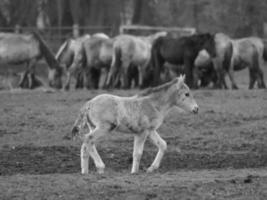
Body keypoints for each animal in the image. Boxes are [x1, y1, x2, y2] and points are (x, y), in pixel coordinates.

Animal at [65, 76, 199, 174]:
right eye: (187, 94)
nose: (196, 109)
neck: (153, 104)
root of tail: (89, 103)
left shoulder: (150, 130)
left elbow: (163, 144)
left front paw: (151, 168)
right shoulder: (142, 132)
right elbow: (137, 153)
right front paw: (134, 172)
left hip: (93, 127)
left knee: (87, 145)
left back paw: (89, 171)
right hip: (104, 127)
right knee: (88, 139)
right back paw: (96, 168)